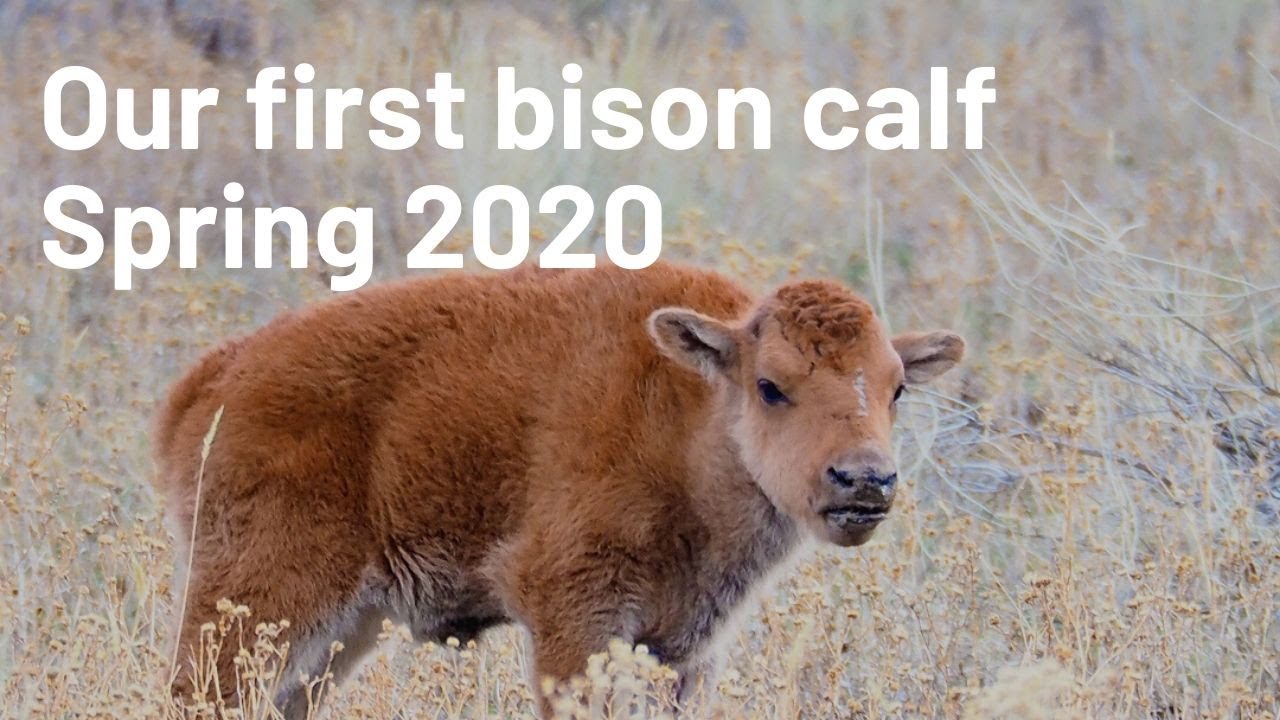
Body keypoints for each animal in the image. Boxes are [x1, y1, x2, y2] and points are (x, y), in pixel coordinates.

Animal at [152, 261, 964, 717]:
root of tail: (213, 379)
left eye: (896, 389)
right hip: (261, 602)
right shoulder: (572, 618)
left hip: (344, 629)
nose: (864, 478)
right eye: (771, 386)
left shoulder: (684, 651)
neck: (690, 413)